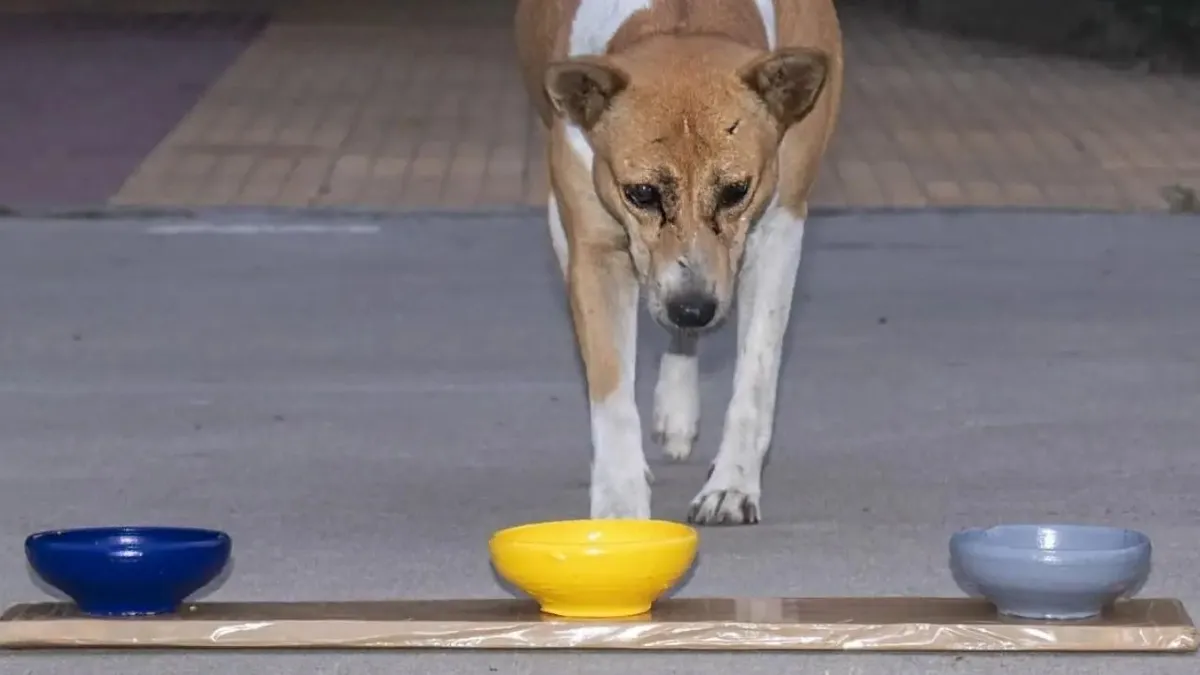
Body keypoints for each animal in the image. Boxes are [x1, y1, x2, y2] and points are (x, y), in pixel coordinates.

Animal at [513, 0, 844, 526]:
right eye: (643, 193)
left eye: (735, 190)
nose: (693, 309)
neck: (683, 17)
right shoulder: (595, 245)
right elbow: (610, 385)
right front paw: (620, 503)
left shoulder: (779, 226)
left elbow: (756, 373)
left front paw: (732, 484)